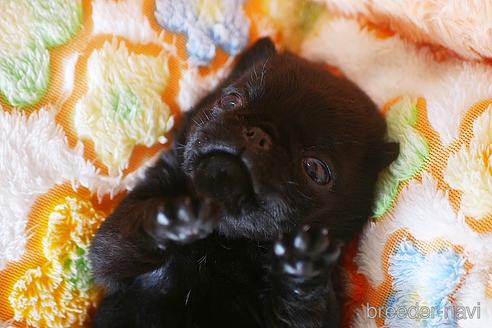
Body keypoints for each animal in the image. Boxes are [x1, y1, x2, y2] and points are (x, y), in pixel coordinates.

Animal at [87, 37, 396, 326]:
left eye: (316, 170)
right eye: (230, 101)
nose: (258, 134)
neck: (228, 240)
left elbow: (304, 309)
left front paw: (302, 265)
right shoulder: (118, 246)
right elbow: (115, 244)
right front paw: (172, 219)